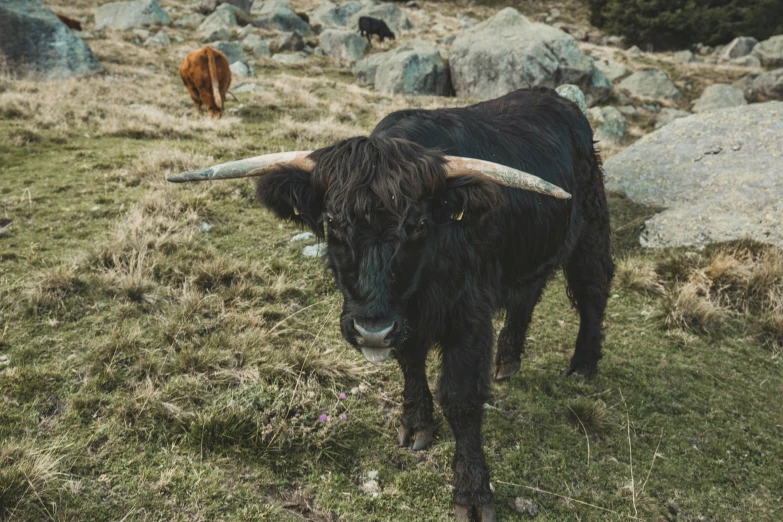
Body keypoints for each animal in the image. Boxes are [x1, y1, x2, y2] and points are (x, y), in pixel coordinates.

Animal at [168, 87, 616, 516]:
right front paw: (418, 426)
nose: (371, 330)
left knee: (592, 289)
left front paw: (472, 492)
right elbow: (410, 365)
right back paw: (507, 360)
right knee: (528, 294)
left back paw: (582, 366)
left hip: (591, 228)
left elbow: (461, 398)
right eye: (333, 222)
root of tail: (559, 101)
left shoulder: (468, 316)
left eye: (417, 224)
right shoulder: (403, 320)